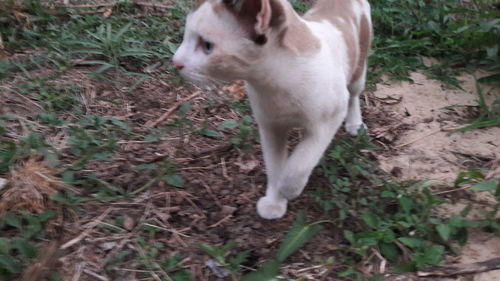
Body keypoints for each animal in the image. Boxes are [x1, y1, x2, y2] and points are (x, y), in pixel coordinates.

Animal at [172, 0, 372, 219]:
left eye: (207, 46)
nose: (175, 61)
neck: (274, 84)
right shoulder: (270, 127)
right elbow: (275, 166)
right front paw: (275, 201)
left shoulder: (328, 121)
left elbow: (300, 163)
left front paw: (289, 188)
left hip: (358, 67)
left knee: (354, 94)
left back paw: (354, 123)